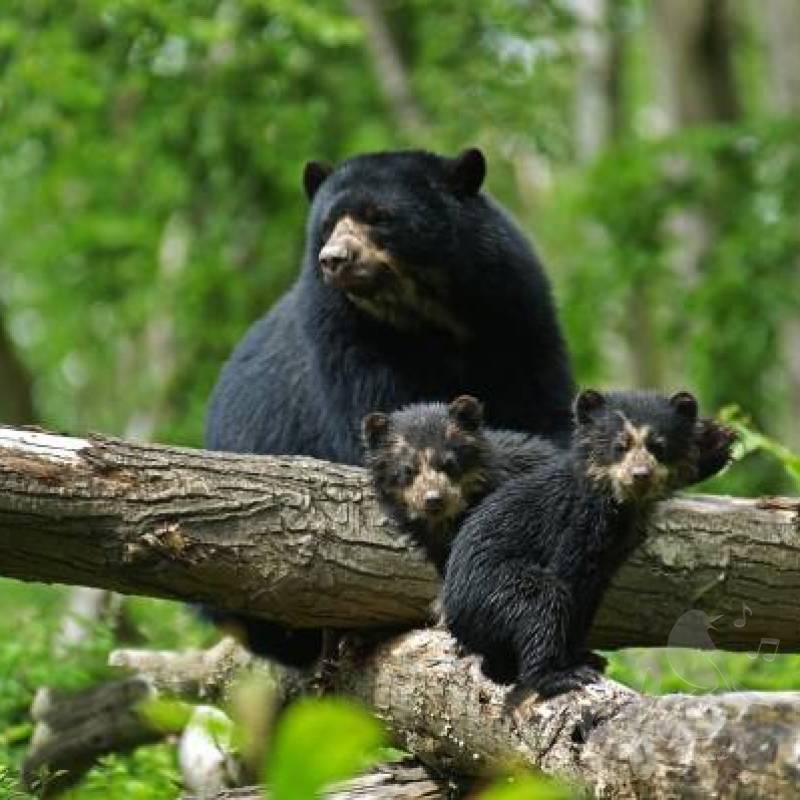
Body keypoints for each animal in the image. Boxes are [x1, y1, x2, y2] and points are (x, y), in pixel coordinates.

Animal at [208, 147, 576, 664]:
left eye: (379, 216)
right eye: (327, 224)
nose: (334, 259)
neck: (428, 316)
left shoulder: (516, 313)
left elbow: (541, 407)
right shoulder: (346, 341)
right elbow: (385, 422)